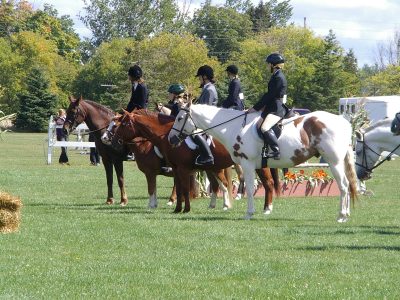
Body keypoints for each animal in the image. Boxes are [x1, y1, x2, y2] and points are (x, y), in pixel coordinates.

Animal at [108, 110, 280, 213]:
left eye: (122, 124)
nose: (112, 141)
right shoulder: (175, 169)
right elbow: (178, 189)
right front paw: (177, 209)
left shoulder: (176, 170)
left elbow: (180, 189)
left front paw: (185, 209)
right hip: (216, 168)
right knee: (221, 185)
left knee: (267, 183)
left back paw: (267, 208)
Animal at [167, 103, 358, 223]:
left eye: (180, 118)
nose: (171, 138)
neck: (234, 127)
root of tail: (343, 122)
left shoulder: (247, 164)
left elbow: (250, 188)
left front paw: (248, 213)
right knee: (348, 185)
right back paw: (347, 214)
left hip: (334, 162)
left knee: (343, 185)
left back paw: (341, 215)